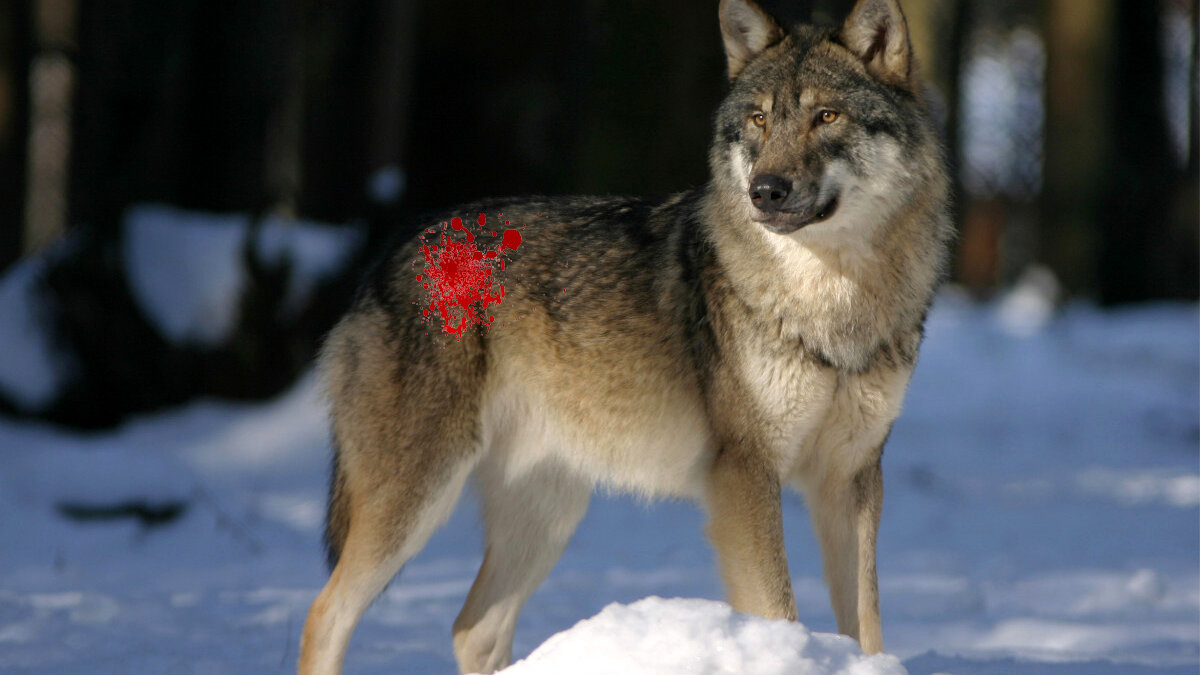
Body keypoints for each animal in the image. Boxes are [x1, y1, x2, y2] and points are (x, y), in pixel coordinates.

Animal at [298, 0, 952, 672]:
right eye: (759, 119)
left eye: (826, 116)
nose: (765, 190)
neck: (831, 304)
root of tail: (395, 248)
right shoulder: (745, 476)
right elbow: (779, 609)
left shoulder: (851, 480)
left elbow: (867, 626)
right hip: (417, 500)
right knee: (325, 614)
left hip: (547, 514)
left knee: (472, 628)